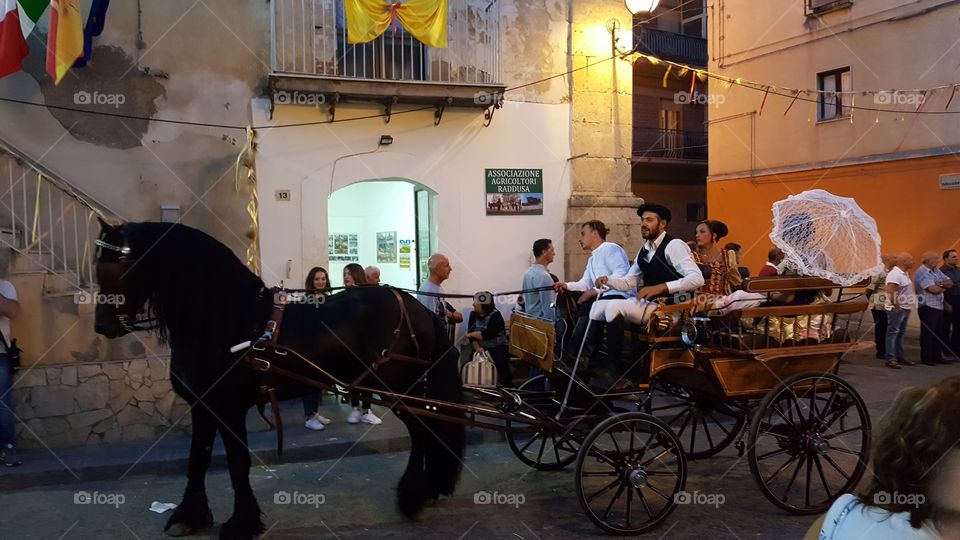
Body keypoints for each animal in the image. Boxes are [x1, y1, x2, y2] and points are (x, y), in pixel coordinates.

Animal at [94, 220, 464, 540]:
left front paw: (242, 522)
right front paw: (189, 515)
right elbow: (197, 458)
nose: (101, 326)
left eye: (115, 269)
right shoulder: (204, 406)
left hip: (398, 391)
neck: (226, 319)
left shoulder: (228, 408)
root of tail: (419, 309)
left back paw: (413, 496)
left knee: (422, 432)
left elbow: (237, 462)